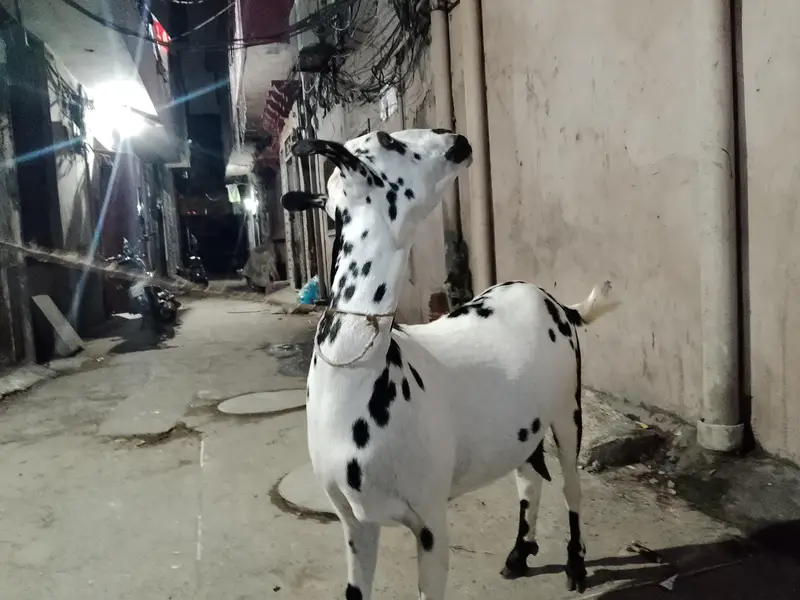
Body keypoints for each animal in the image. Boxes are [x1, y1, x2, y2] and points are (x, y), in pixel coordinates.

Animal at [281, 129, 619, 599]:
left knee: (571, 485)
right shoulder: (353, 522)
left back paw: (576, 565)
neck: (360, 381)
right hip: (520, 425)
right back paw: (520, 554)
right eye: (387, 139)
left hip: (567, 409)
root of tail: (559, 304)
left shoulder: (430, 520)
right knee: (530, 475)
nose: (455, 138)